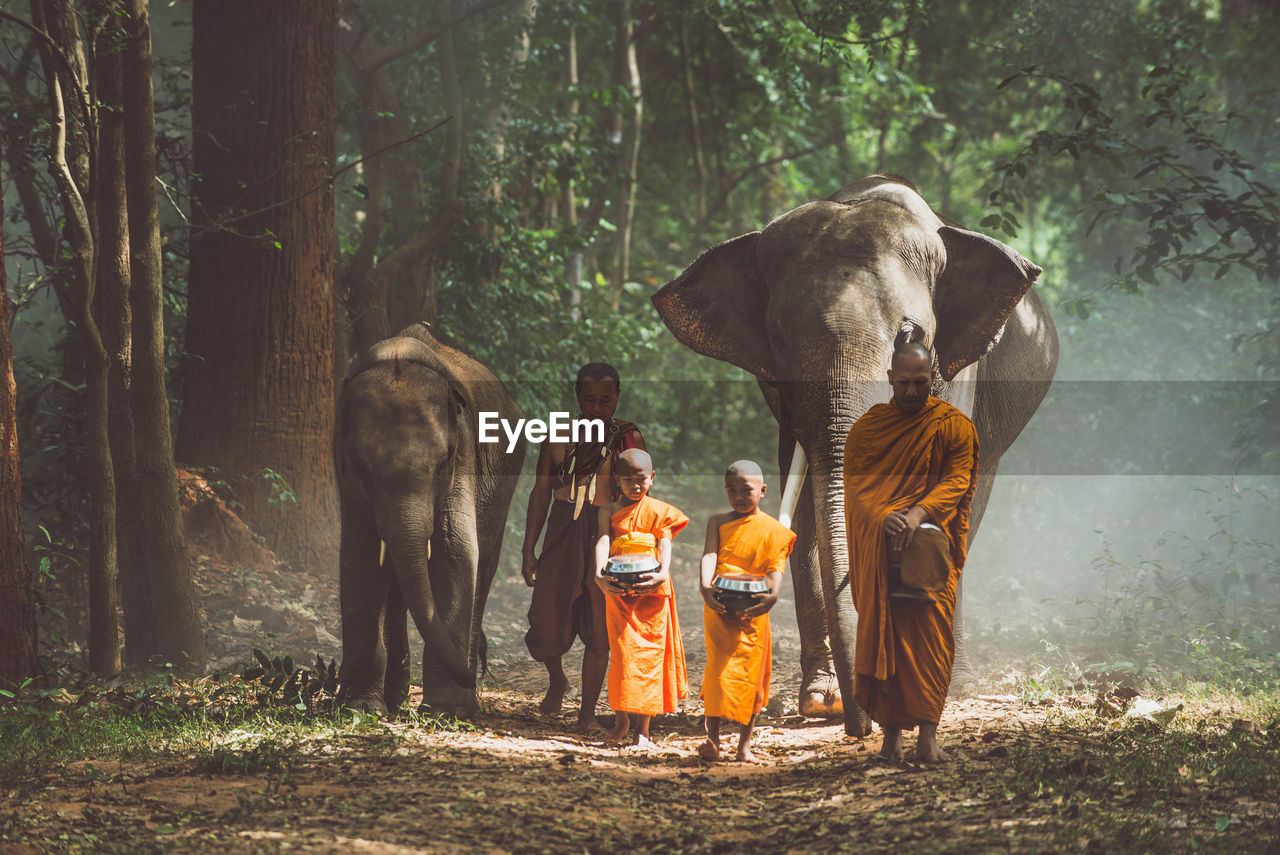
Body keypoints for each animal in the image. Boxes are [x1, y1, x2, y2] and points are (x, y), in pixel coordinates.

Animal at [337, 323, 527, 716]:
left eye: (443, 463)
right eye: (362, 469)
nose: (476, 677)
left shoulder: (464, 455)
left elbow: (454, 551)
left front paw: (448, 710)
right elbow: (361, 557)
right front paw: (360, 708)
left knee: (484, 564)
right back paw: (396, 698)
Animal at [655, 175, 1054, 737]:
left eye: (911, 335)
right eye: (777, 337)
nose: (858, 727)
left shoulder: (957, 375)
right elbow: (807, 508)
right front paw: (824, 702)